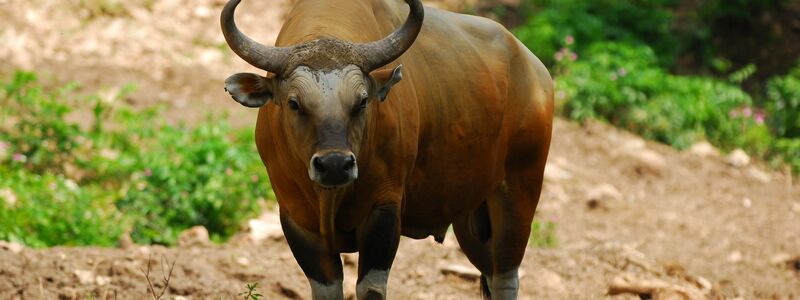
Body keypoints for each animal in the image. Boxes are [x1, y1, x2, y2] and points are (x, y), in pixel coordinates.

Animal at [222, 0, 552, 298]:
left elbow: (370, 289)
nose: (334, 165)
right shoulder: (296, 218)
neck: (330, 198)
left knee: (506, 277)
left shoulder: (384, 208)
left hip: (518, 191)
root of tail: (534, 70)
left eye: (361, 101)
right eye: (294, 103)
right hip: (471, 217)